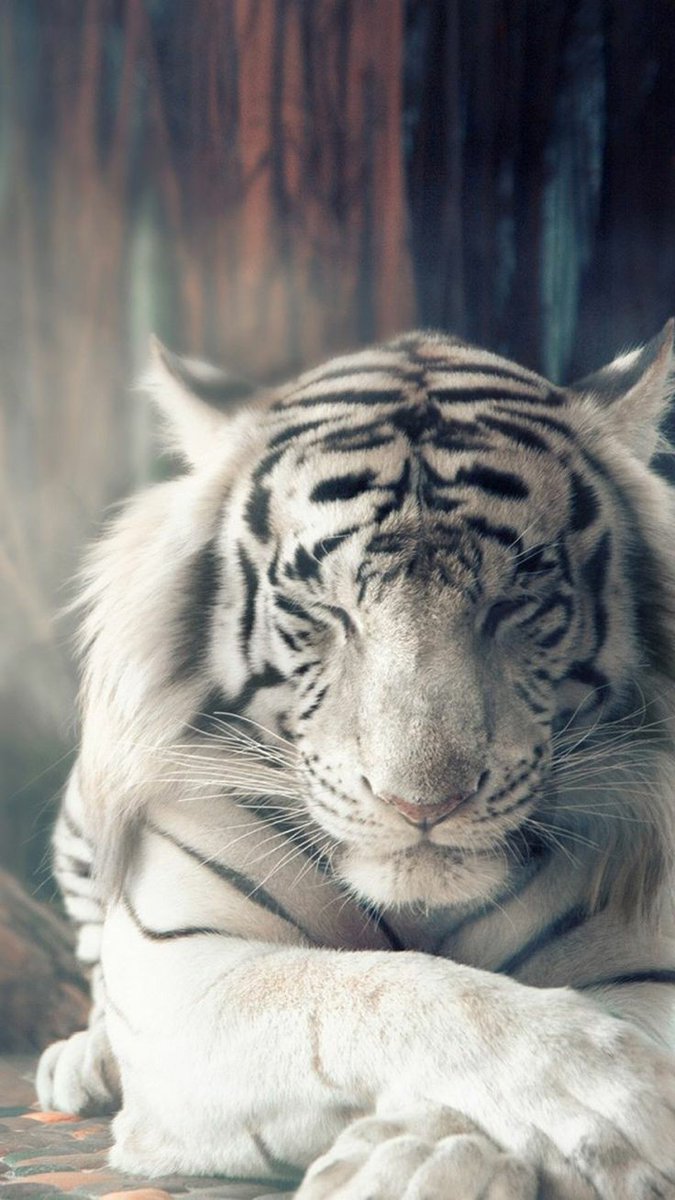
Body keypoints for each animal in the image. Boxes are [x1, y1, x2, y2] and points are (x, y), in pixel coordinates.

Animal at [36, 324, 675, 1200]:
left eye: (513, 603)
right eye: (324, 609)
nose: (422, 805)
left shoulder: (651, 963)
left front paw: (414, 1160)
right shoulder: (187, 969)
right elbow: (382, 992)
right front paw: (610, 1095)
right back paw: (83, 1060)